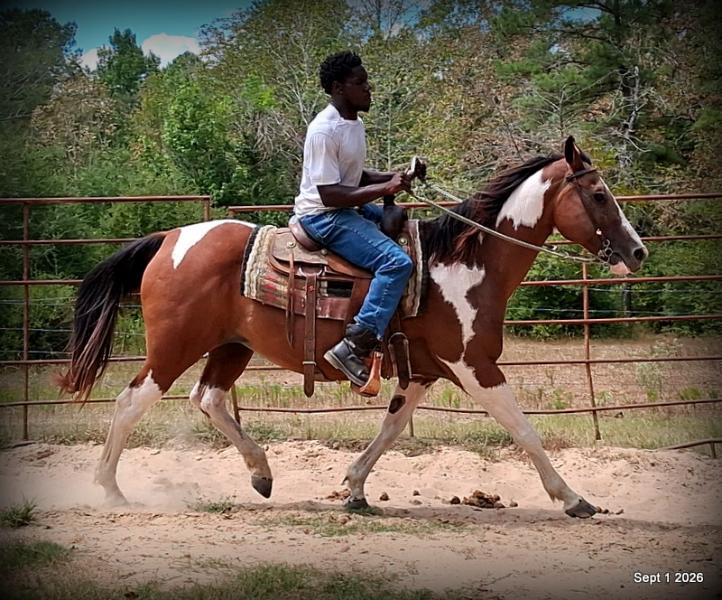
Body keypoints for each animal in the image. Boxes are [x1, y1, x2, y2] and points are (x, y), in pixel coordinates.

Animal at [59, 137, 647, 518]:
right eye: (599, 195)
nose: (637, 251)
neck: (464, 265)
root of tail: (171, 238)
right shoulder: (474, 367)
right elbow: (524, 430)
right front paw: (574, 499)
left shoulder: (423, 373)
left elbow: (390, 429)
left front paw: (355, 488)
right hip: (175, 347)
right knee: (131, 402)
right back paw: (109, 489)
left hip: (232, 347)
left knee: (209, 399)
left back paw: (261, 473)